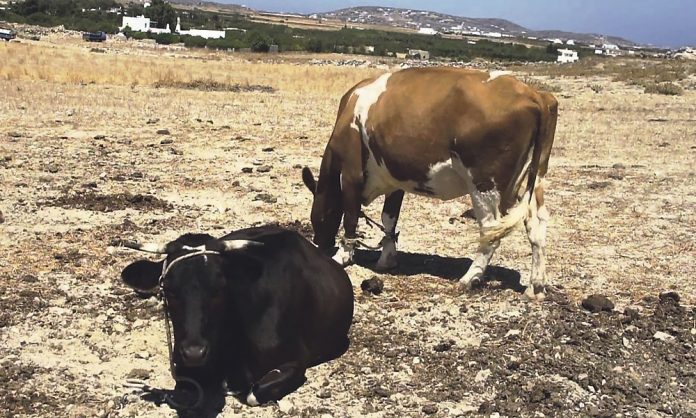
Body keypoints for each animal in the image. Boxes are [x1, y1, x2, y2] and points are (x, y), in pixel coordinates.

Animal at [302, 67, 556, 298]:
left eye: (318, 216)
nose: (320, 244)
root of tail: (535, 94)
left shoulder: (351, 172)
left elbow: (351, 217)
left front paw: (343, 255)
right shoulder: (395, 179)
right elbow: (389, 219)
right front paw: (387, 258)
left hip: (485, 184)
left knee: (491, 231)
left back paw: (469, 278)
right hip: (531, 181)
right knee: (537, 225)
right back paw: (536, 287)